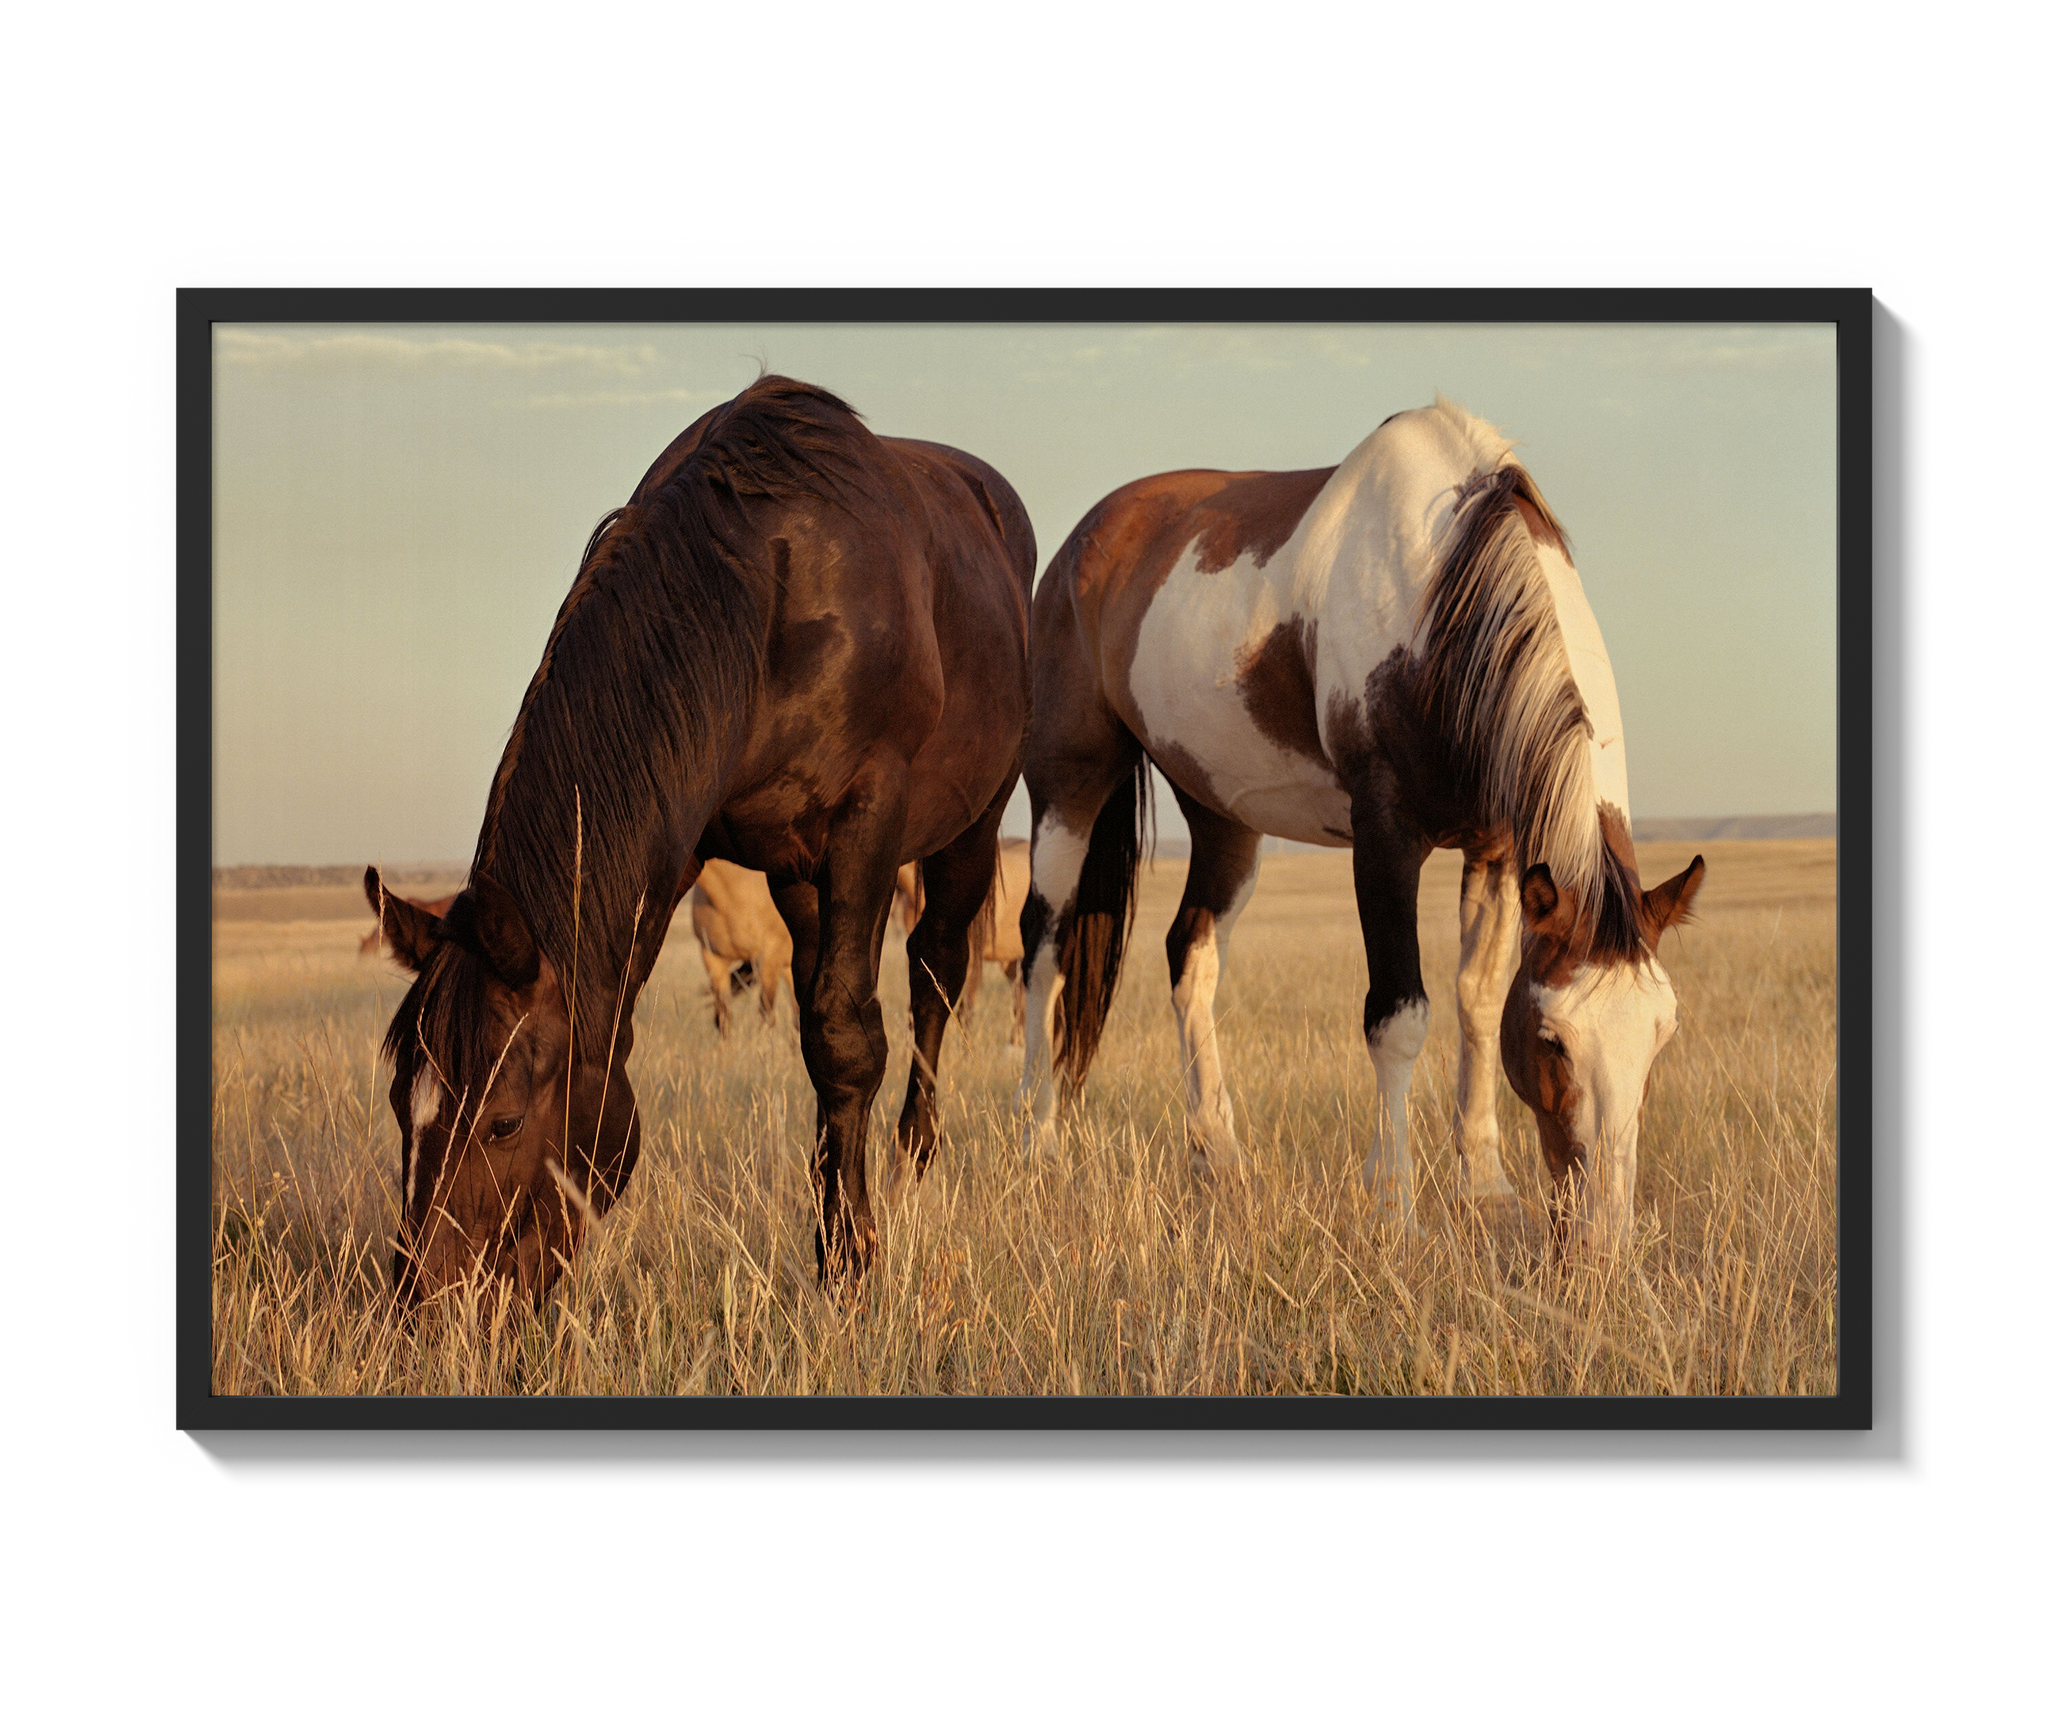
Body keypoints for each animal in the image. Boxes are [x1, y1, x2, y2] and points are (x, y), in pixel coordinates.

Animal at [1015, 403, 1703, 1261]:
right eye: (1552, 1040)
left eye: (1661, 1037)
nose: (1604, 1241)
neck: (1439, 593)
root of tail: (1082, 542)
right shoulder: (1385, 839)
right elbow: (1398, 1017)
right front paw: (1395, 1208)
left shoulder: (1498, 849)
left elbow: (1478, 1000)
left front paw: (1484, 1185)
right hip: (1068, 786)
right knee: (1043, 945)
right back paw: (1038, 1143)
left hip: (1223, 817)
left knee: (1190, 953)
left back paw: (1220, 1158)